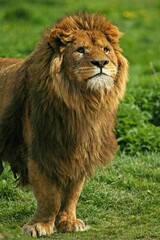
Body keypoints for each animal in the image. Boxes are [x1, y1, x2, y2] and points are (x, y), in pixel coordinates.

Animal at [0, 14, 128, 237]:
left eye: (105, 49)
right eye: (80, 50)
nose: (101, 62)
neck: (81, 104)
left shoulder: (79, 152)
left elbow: (72, 194)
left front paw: (68, 222)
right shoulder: (40, 151)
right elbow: (49, 196)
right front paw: (40, 225)